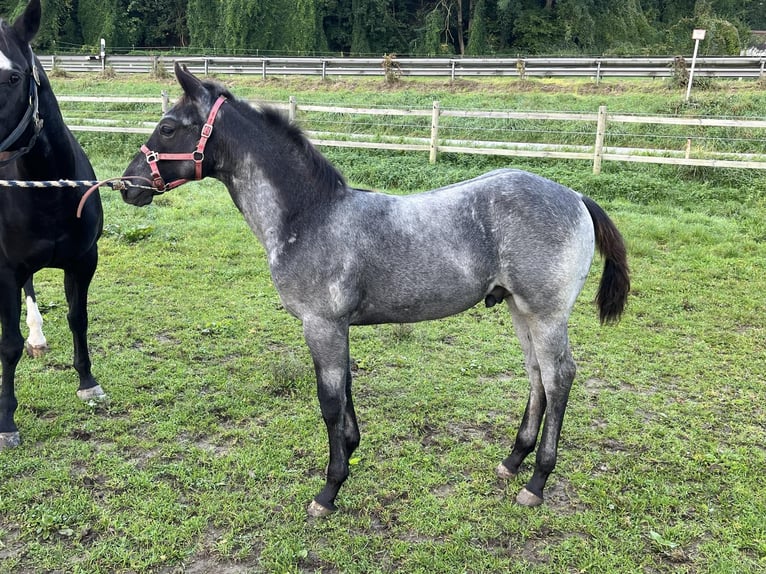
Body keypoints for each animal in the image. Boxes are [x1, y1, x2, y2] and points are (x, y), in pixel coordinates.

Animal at [123, 65, 632, 520]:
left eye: (168, 127)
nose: (129, 186)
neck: (309, 215)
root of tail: (575, 196)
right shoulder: (336, 327)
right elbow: (344, 392)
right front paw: (350, 452)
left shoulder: (322, 325)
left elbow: (329, 402)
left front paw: (329, 491)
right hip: (519, 309)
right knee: (537, 377)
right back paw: (512, 461)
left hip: (546, 314)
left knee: (559, 377)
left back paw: (537, 482)